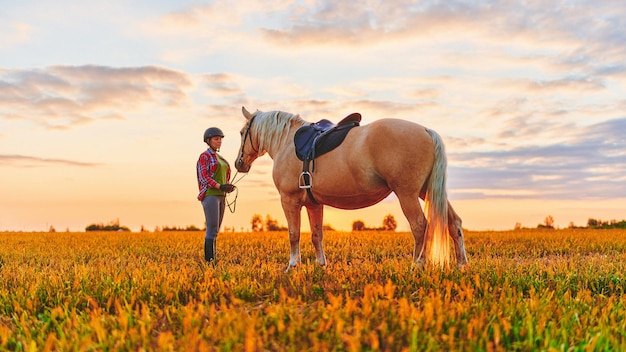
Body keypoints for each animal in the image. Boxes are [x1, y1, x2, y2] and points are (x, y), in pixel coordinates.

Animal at [235, 107, 468, 270]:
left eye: (241, 132)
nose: (239, 164)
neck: (287, 143)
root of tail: (426, 131)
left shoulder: (289, 200)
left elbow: (294, 234)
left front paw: (292, 265)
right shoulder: (314, 204)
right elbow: (316, 234)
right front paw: (321, 265)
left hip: (407, 194)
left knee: (420, 226)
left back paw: (417, 265)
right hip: (426, 190)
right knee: (454, 223)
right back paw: (461, 264)